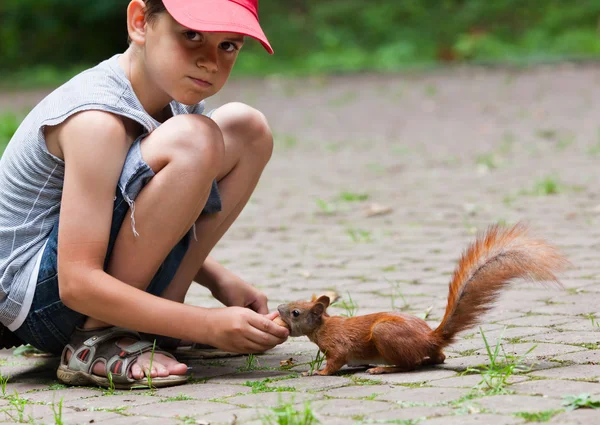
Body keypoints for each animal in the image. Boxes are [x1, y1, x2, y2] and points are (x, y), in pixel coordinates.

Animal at [274, 222, 568, 374]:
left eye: (296, 312)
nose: (278, 307)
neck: (324, 326)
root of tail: (428, 338)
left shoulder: (338, 346)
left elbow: (335, 361)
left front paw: (318, 372)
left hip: (385, 335)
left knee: (409, 364)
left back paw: (383, 369)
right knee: (438, 358)